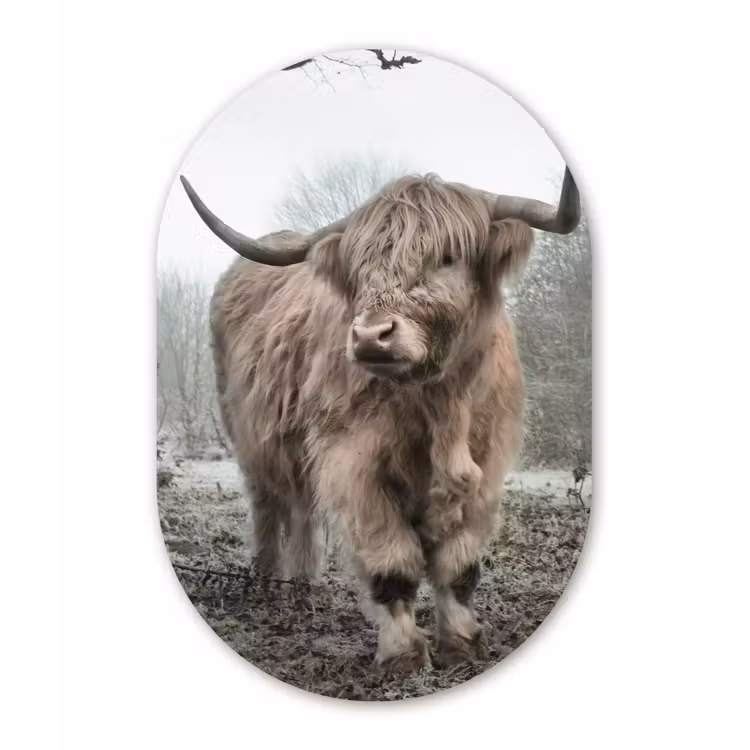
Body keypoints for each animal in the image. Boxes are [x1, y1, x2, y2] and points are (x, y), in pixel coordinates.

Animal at [178, 167, 581, 672]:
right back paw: (270, 585)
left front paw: (462, 643)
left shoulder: (488, 466)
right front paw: (403, 656)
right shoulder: (356, 465)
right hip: (250, 440)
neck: (440, 407)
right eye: (360, 267)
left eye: (447, 257)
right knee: (269, 507)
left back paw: (303, 587)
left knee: (304, 510)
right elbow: (393, 566)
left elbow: (460, 566)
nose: (372, 336)